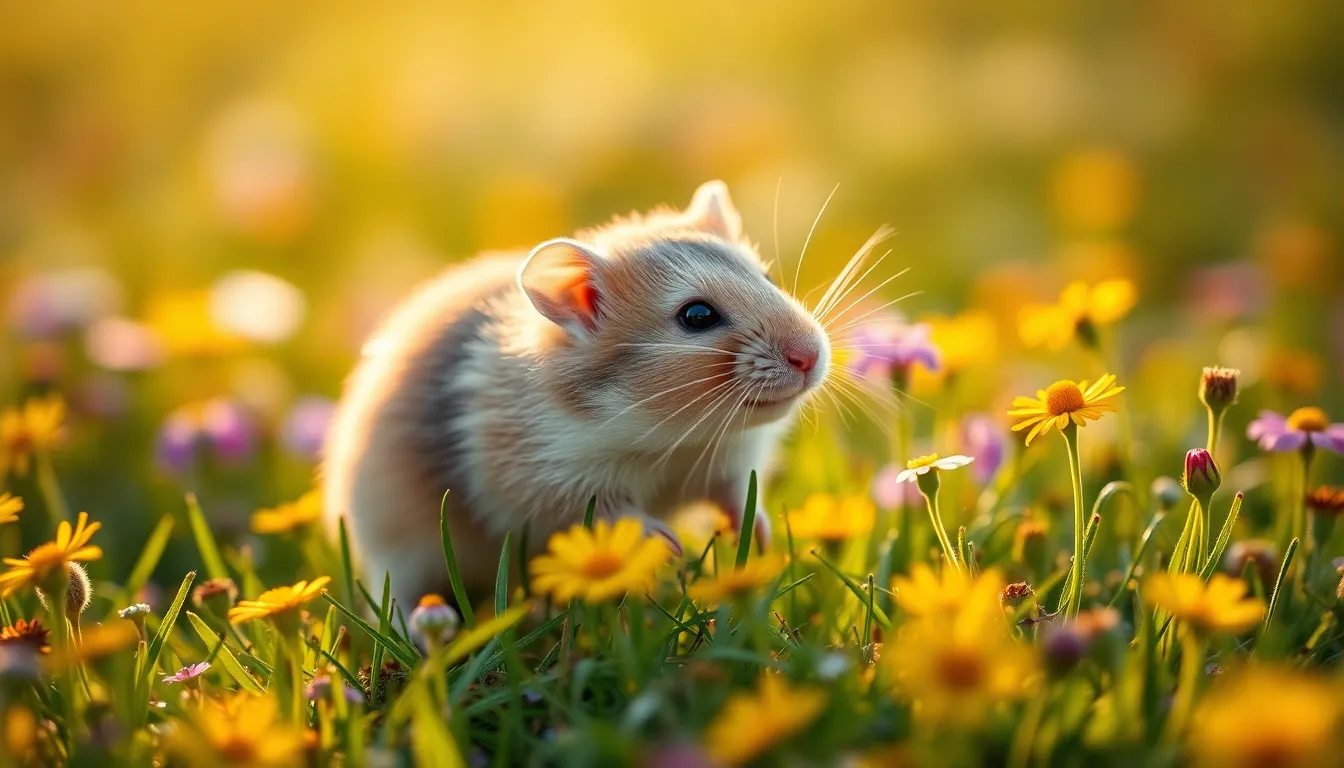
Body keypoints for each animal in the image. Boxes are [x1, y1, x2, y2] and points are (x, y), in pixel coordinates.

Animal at [323, 181, 831, 609]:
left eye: (767, 278)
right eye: (697, 316)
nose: (810, 356)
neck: (673, 434)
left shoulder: (730, 459)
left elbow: (736, 493)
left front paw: (760, 536)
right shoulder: (545, 479)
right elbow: (613, 513)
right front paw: (669, 546)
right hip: (397, 548)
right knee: (398, 596)